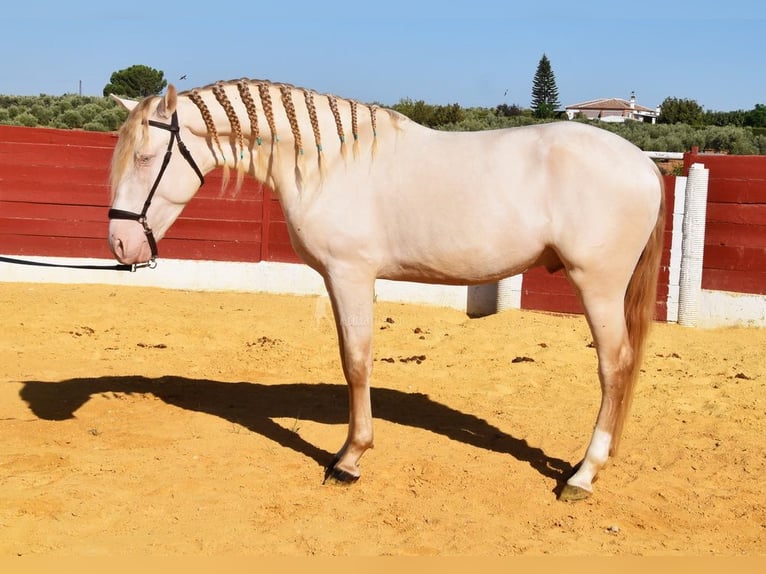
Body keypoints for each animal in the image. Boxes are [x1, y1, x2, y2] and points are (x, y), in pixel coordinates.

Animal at [108, 79, 665, 501]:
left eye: (145, 157)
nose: (119, 242)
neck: (330, 162)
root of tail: (644, 164)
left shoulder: (350, 274)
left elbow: (356, 361)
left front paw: (349, 458)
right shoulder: (339, 279)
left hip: (598, 285)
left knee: (614, 367)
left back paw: (583, 475)